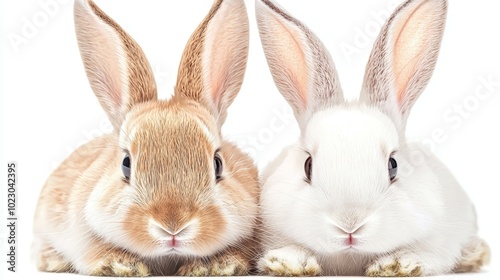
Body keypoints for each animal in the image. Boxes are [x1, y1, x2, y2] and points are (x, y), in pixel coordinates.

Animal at [256, 0, 490, 276]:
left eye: (393, 165)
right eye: (308, 166)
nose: (349, 224)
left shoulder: (439, 240)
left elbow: (426, 254)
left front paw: (397, 264)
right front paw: (290, 263)